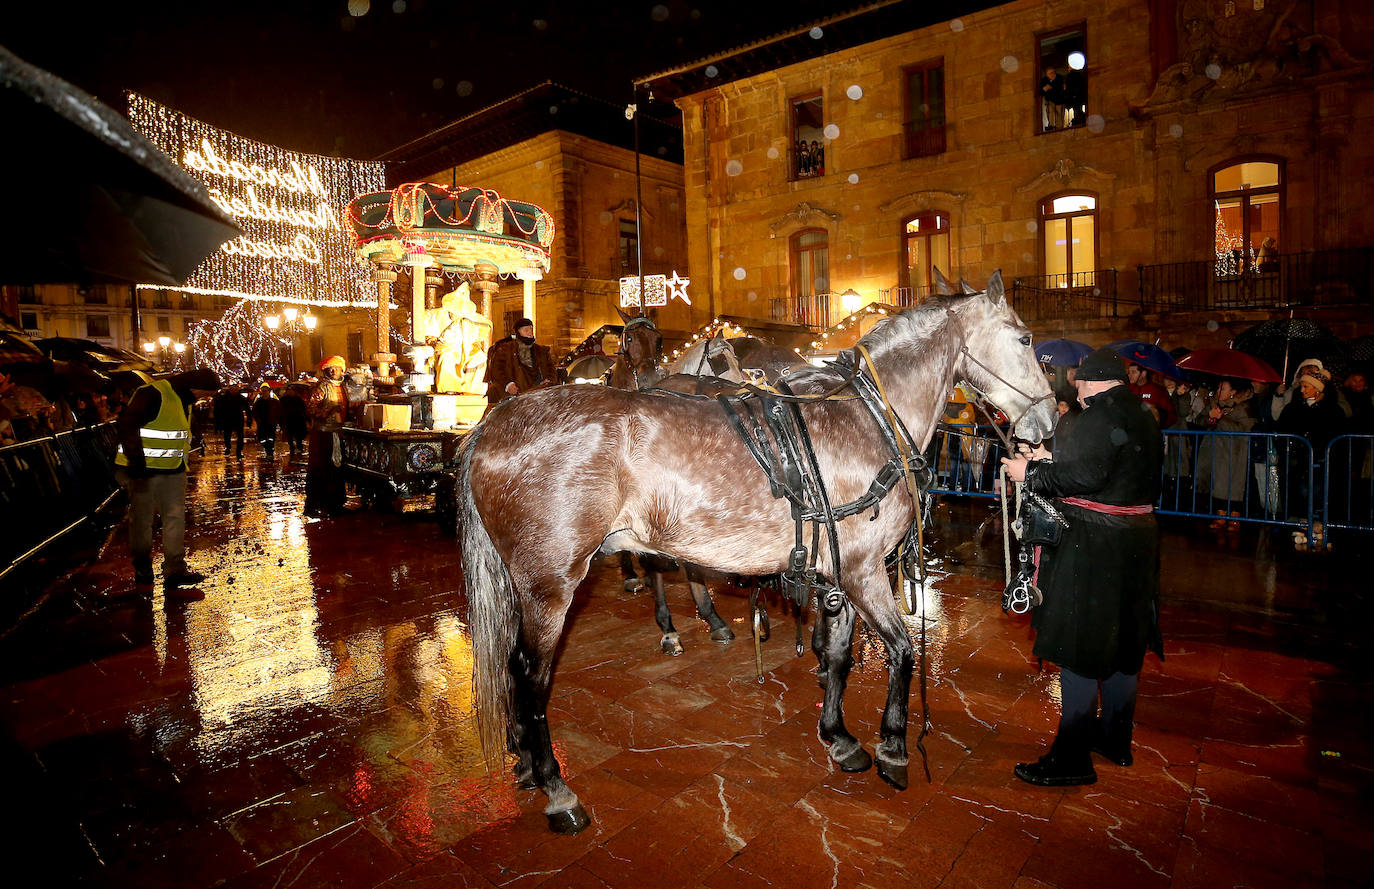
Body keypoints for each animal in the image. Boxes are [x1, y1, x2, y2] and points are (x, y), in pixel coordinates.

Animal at [456, 274, 1055, 829]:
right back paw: (557, 786)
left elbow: (839, 655)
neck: (869, 416)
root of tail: (491, 426)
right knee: (531, 675)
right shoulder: (864, 572)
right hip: (550, 584)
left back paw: (526, 760)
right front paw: (892, 748)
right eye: (1026, 338)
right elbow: (903, 651)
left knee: (513, 664)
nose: (1048, 422)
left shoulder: (838, 572)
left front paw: (839, 736)